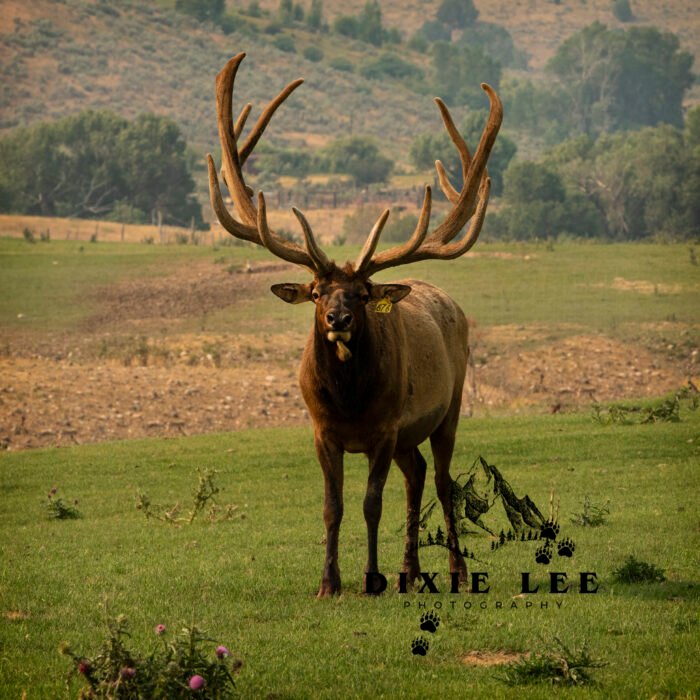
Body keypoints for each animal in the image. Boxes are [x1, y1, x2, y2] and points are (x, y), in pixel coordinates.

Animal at [207, 53, 502, 598]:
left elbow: (370, 505)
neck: (349, 401)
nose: (338, 319)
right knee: (418, 474)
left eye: (363, 293)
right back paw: (411, 570)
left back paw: (453, 571)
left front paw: (370, 578)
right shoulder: (322, 431)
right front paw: (329, 583)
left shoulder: (384, 431)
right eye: (316, 292)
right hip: (409, 437)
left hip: (448, 409)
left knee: (443, 479)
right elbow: (333, 507)